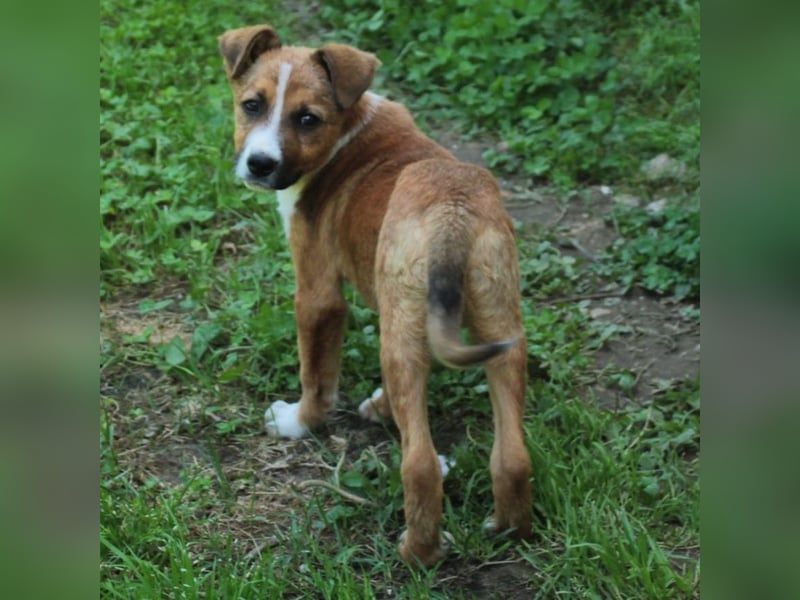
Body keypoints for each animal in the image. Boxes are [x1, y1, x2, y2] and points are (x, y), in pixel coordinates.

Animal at [219, 24, 532, 566]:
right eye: (251, 105)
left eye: (308, 119)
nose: (260, 164)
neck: (345, 133)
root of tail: (452, 212)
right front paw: (382, 407)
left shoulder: (318, 293)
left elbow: (316, 375)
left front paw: (298, 422)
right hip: (499, 324)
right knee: (513, 454)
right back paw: (507, 529)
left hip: (400, 331)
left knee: (420, 465)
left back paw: (417, 553)